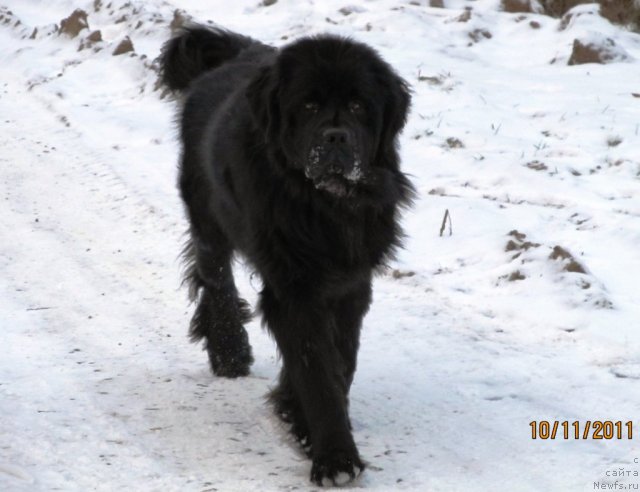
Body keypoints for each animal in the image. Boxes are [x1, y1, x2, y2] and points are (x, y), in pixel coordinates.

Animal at [160, 25, 416, 486]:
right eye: (309, 105)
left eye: (358, 105)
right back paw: (229, 350)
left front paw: (297, 417)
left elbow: (339, 361)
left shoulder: (349, 282)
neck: (323, 206)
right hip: (208, 214)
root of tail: (239, 54)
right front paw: (335, 457)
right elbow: (317, 370)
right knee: (214, 276)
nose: (336, 137)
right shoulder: (293, 288)